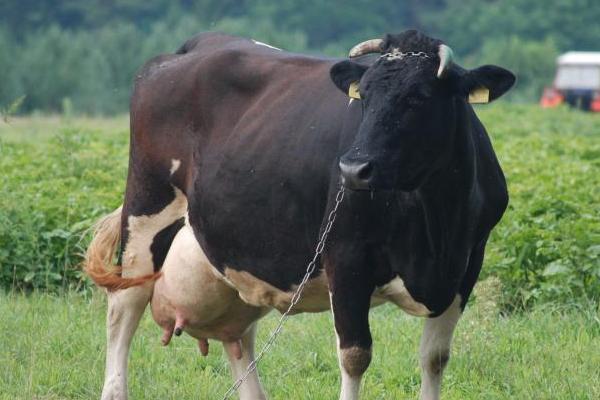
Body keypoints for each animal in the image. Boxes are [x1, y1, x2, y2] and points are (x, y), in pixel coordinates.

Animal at [85, 28, 516, 400]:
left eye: (420, 97)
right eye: (365, 96)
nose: (353, 170)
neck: (435, 219)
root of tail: (199, 43)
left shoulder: (467, 265)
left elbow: (435, 357)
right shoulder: (346, 258)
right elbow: (355, 356)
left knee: (237, 335)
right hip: (146, 207)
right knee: (124, 306)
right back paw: (114, 390)